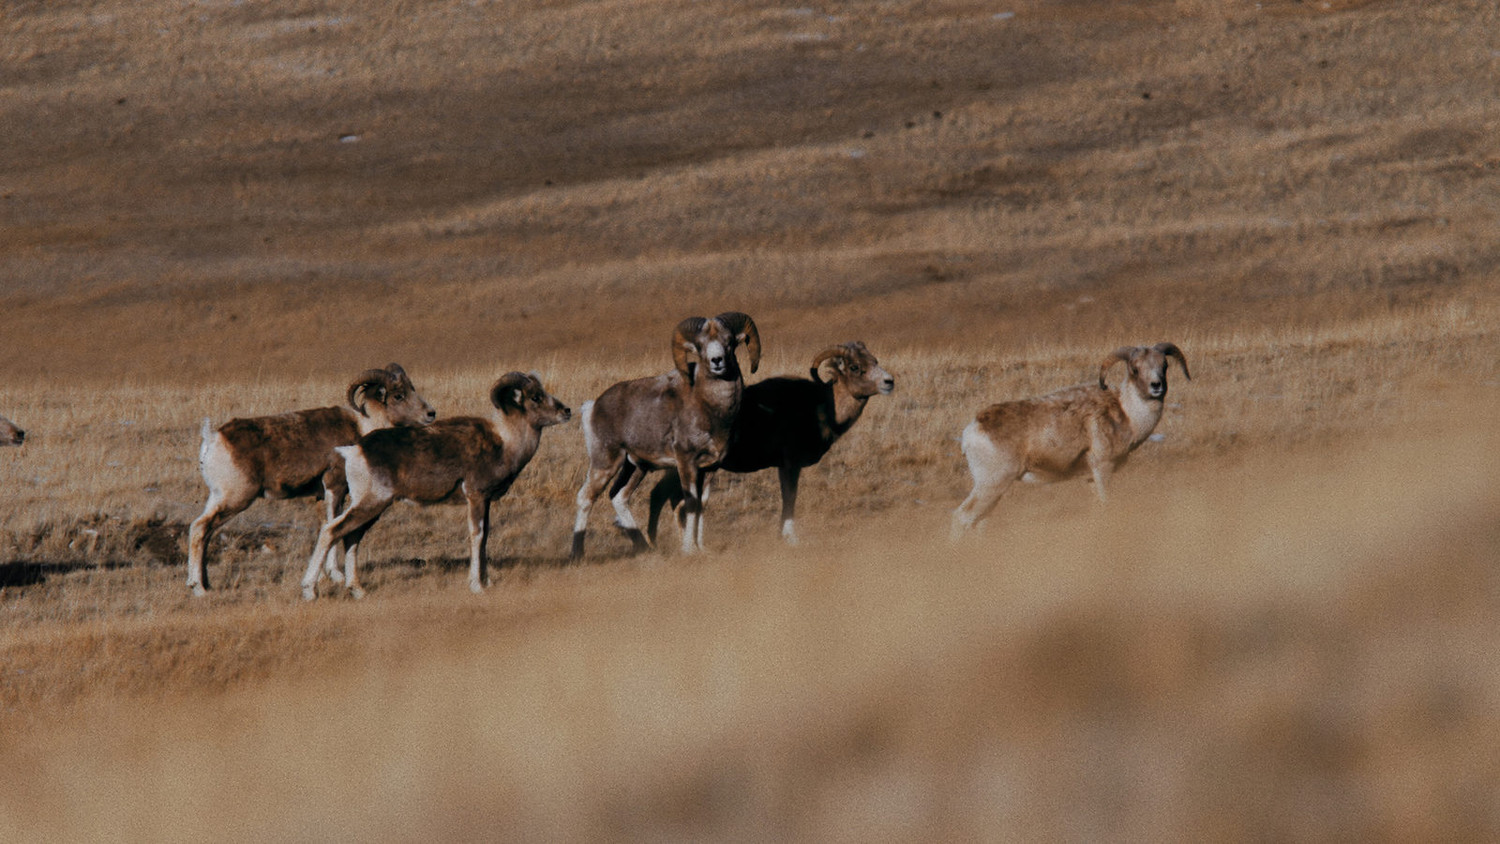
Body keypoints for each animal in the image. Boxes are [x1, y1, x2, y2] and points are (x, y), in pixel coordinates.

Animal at [954, 341, 1188, 533]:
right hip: (991, 486)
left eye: (1164, 366)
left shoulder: (1091, 478)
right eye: (1135, 368)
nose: (1156, 386)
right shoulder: (1103, 469)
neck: (1127, 413)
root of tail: (971, 432)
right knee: (962, 518)